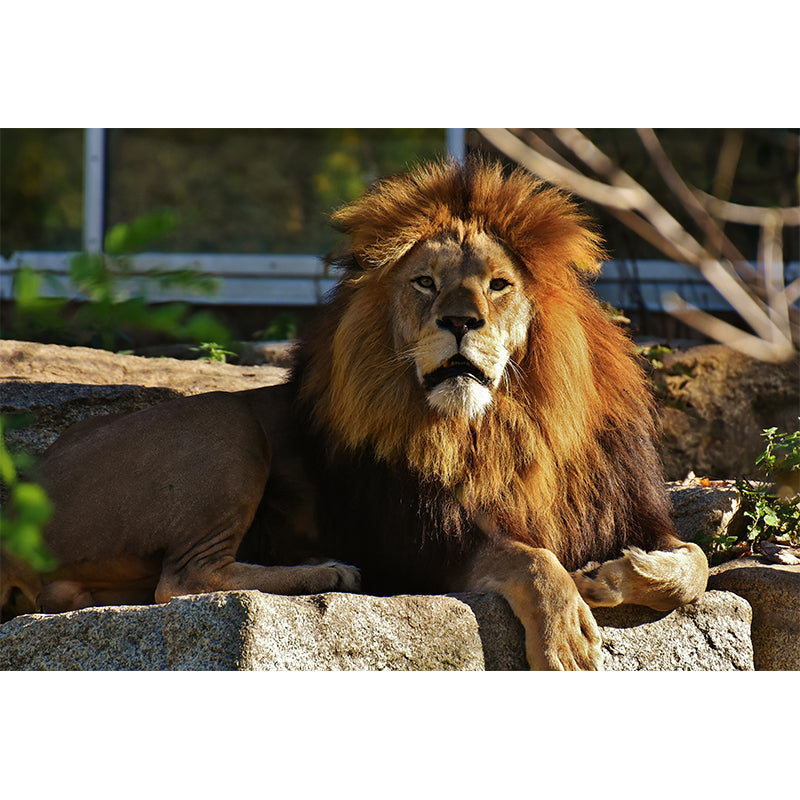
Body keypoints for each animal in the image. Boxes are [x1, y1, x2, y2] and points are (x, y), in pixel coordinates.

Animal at [1, 158, 708, 669]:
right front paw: (567, 634)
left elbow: (695, 562)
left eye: (499, 284)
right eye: (425, 282)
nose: (460, 322)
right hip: (224, 424)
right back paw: (330, 572)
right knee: (181, 579)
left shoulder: (629, 508)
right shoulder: (422, 545)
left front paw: (621, 572)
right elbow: (531, 557)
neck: (505, 427)